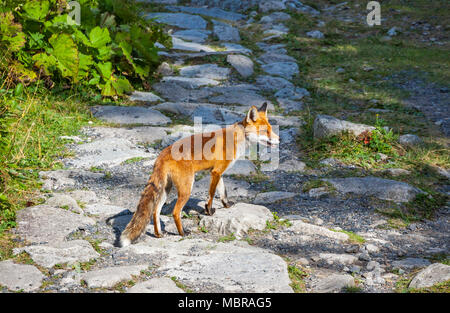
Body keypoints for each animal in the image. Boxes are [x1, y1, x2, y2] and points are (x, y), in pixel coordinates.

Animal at [119, 103, 278, 246]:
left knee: (155, 211)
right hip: (186, 188)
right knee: (175, 212)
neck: (236, 138)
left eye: (270, 129)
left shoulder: (217, 172)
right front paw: (209, 211)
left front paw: (227, 206)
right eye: (265, 131)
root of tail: (162, 154)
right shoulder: (216, 172)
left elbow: (223, 192)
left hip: (166, 189)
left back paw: (159, 234)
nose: (279, 139)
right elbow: (211, 195)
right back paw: (182, 233)